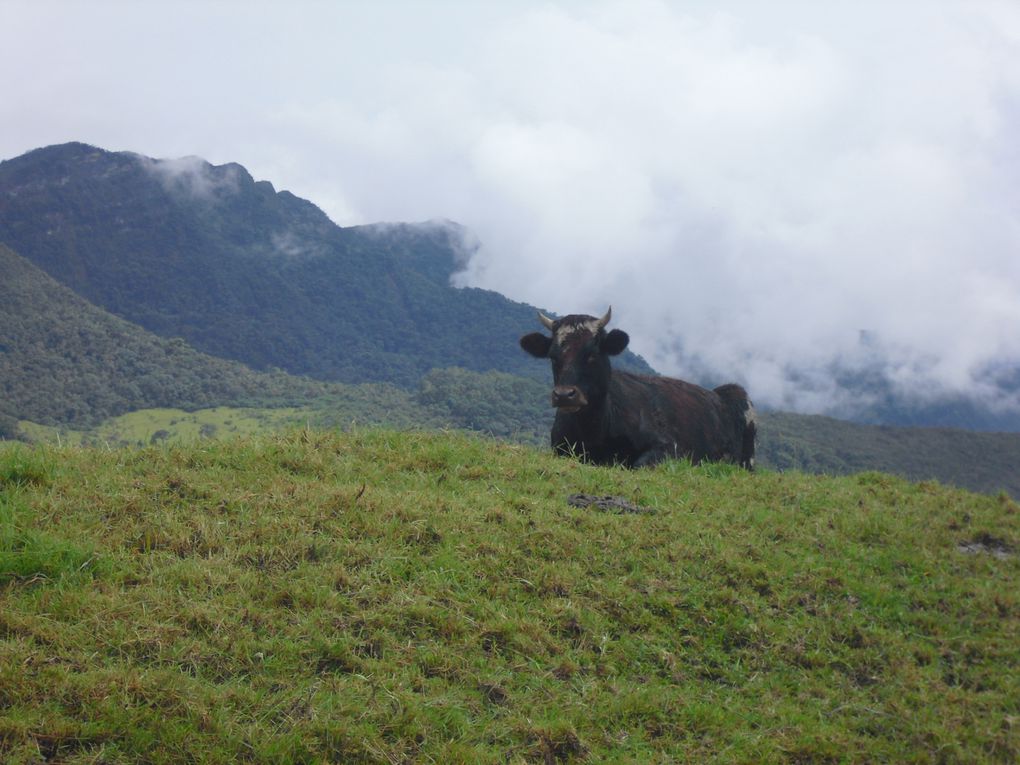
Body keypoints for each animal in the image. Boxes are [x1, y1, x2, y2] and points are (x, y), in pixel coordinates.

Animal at [522, 308, 754, 471]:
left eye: (592, 354)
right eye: (553, 357)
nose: (564, 395)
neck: (593, 431)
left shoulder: (670, 447)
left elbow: (639, 464)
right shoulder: (560, 448)